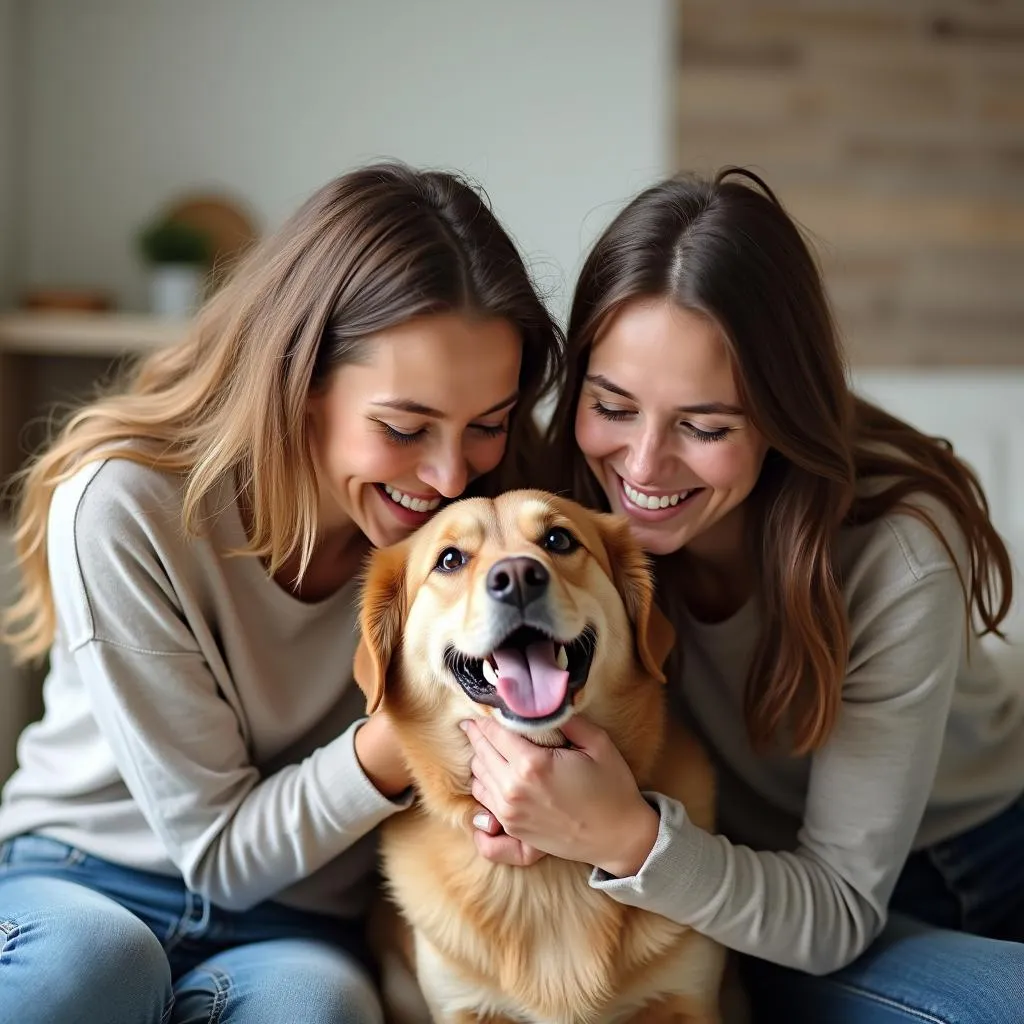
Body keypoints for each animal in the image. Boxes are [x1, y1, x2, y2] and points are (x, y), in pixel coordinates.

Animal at [356, 487, 724, 1024]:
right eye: (450, 559)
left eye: (558, 540)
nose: (516, 578)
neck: (551, 873)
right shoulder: (462, 1007)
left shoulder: (689, 1000)